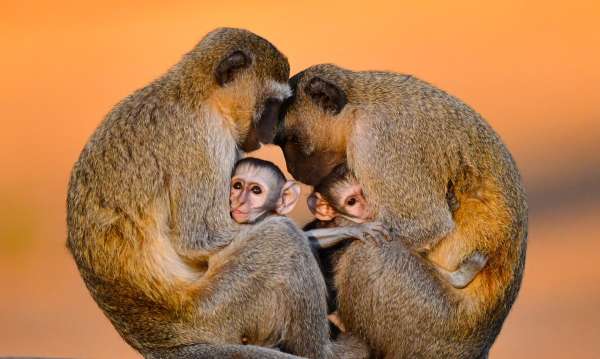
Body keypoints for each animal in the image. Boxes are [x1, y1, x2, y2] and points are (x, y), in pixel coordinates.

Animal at [67, 28, 366, 359]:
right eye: (273, 104)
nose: (270, 132)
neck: (198, 96)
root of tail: (159, 342)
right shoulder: (203, 140)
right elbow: (199, 238)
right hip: (216, 312)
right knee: (281, 237)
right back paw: (324, 351)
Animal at [274, 64, 528, 359]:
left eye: (289, 139)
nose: (292, 168)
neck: (358, 107)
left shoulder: (380, 140)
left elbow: (425, 225)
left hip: (431, 328)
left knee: (368, 252)